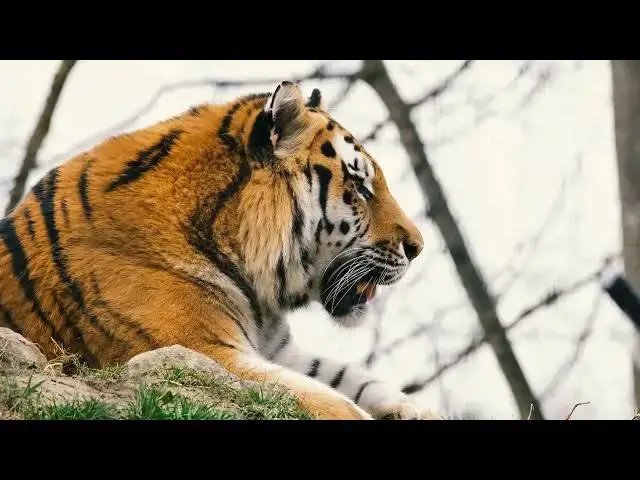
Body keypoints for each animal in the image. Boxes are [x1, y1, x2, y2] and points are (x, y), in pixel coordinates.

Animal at [0, 80, 441, 420]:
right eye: (361, 188)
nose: (418, 248)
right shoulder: (201, 350)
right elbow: (335, 402)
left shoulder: (276, 348)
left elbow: (354, 379)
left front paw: (417, 410)